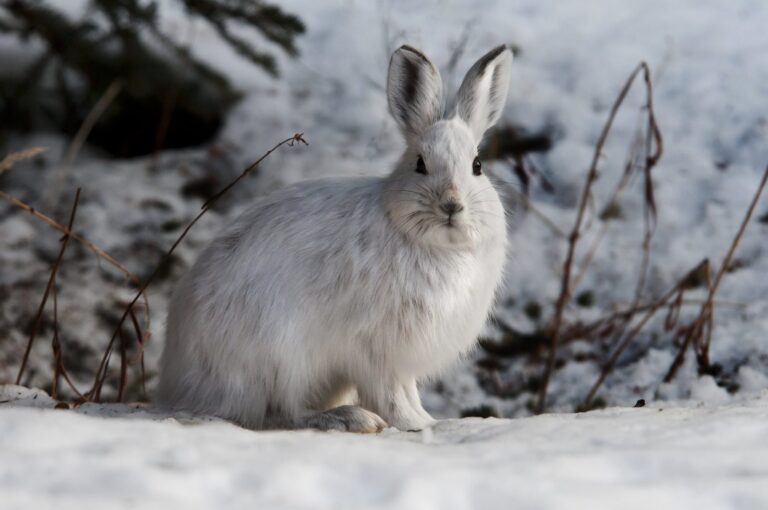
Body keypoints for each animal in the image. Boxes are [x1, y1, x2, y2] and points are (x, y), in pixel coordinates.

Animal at [157, 44, 513, 432]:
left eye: (477, 167)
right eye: (420, 164)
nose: (451, 205)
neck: (435, 245)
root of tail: (181, 385)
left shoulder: (399, 360)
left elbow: (408, 391)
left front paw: (428, 420)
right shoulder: (376, 349)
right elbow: (390, 394)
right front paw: (413, 424)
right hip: (279, 357)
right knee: (281, 413)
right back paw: (350, 418)